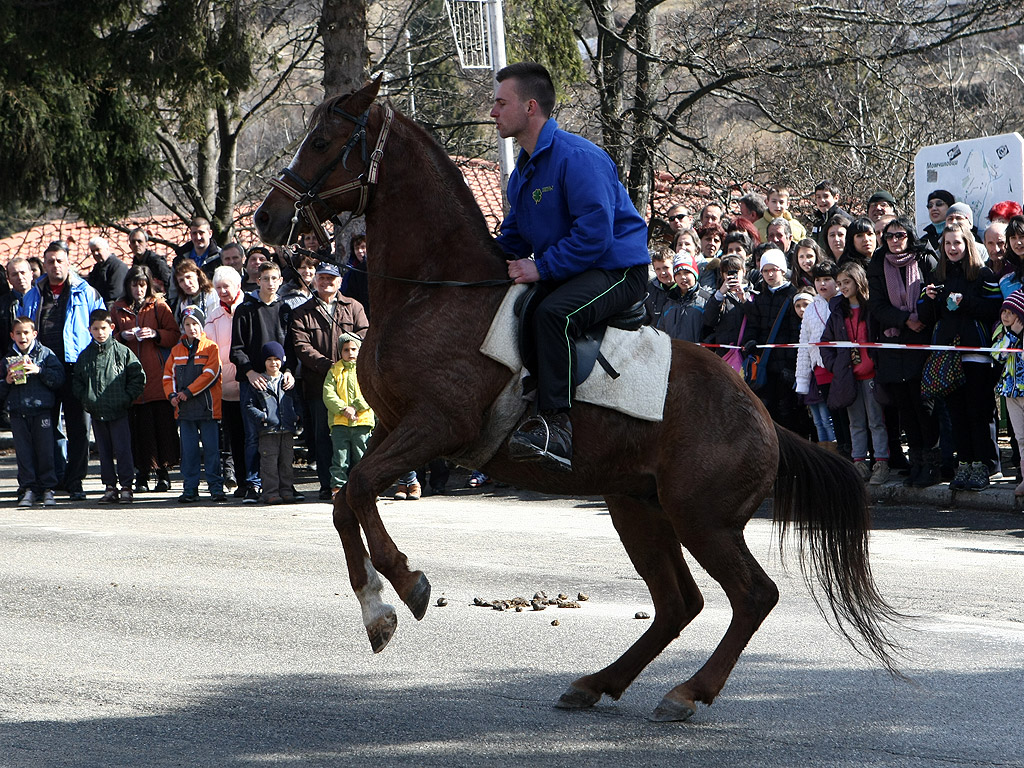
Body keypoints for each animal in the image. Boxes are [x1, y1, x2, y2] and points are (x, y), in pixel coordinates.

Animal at [251, 78, 901, 720]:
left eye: (323, 140)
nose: (267, 217)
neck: (435, 289)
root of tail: (762, 416)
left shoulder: (437, 425)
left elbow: (360, 488)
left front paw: (406, 587)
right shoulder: (391, 426)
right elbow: (346, 500)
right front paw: (376, 611)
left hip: (702, 517)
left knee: (752, 595)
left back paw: (689, 691)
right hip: (638, 506)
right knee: (679, 603)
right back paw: (598, 682)